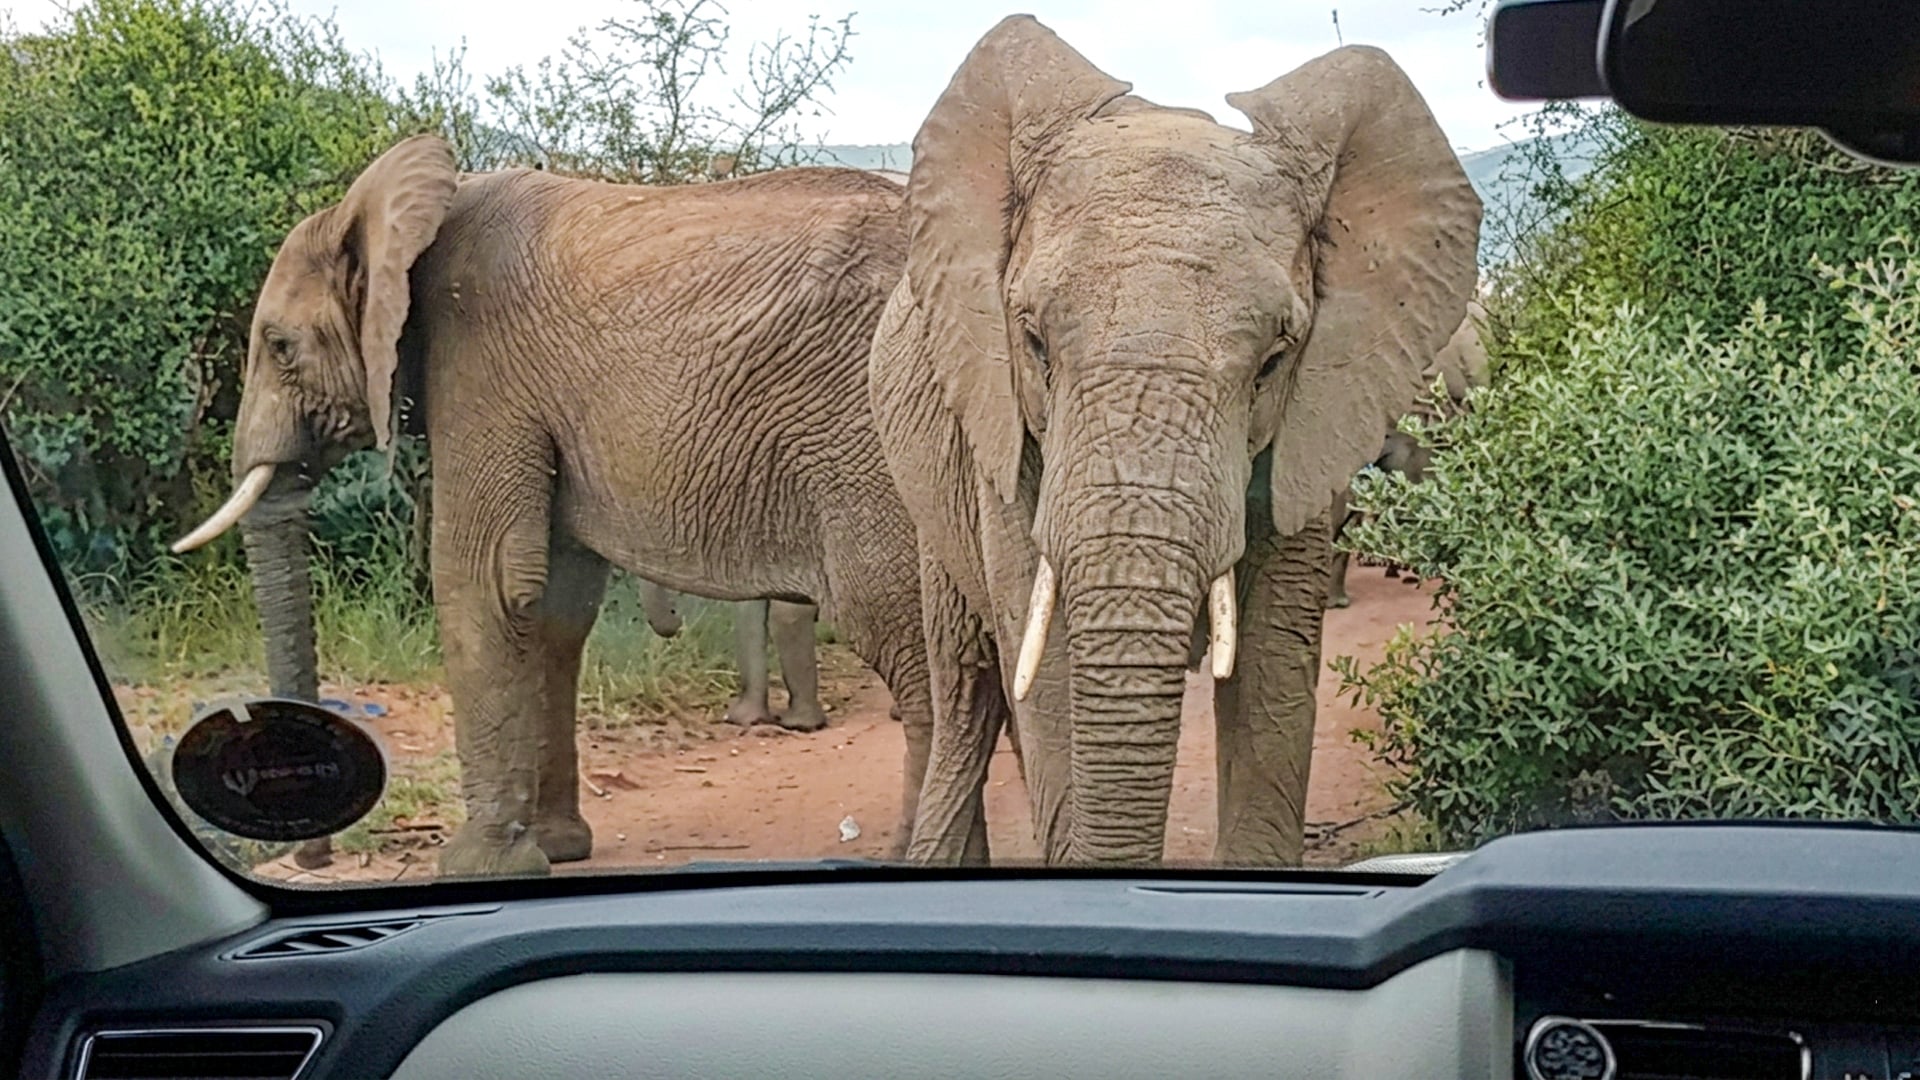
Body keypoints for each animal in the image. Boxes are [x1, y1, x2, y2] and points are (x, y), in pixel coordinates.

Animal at [172, 134, 934, 878]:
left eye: (280, 346)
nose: (312, 856)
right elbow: (555, 609)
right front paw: (558, 847)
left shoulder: (478, 365)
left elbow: (483, 583)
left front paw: (479, 868)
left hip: (875, 439)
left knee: (906, 626)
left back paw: (917, 854)